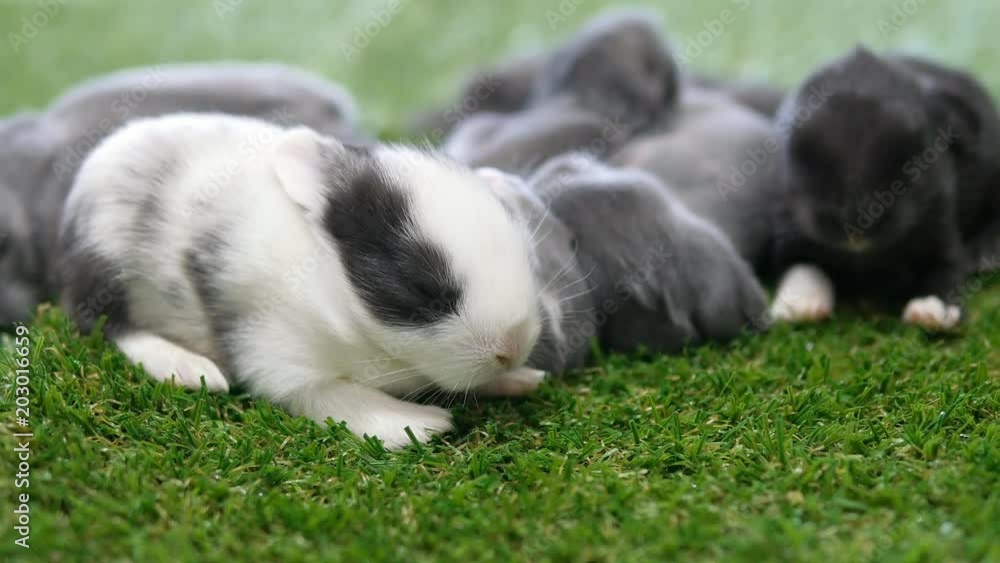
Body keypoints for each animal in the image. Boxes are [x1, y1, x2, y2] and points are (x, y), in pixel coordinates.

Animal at [60, 114, 548, 450]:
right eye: (421, 287)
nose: (512, 348)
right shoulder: (280, 356)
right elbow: (335, 398)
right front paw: (420, 425)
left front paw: (522, 380)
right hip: (105, 266)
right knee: (108, 324)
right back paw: (188, 368)